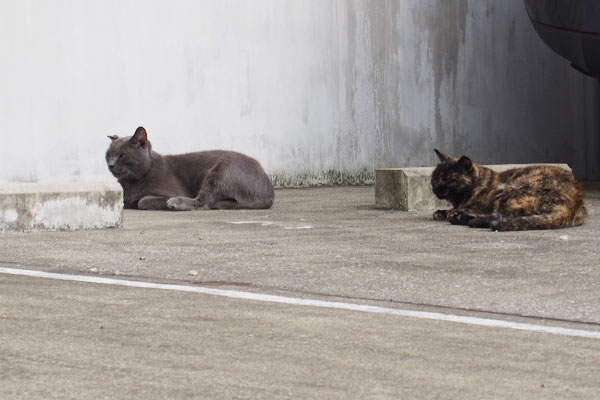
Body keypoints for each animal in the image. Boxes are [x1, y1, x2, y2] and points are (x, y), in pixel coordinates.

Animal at [432, 149, 584, 231]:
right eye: (434, 178)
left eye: (447, 178)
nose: (434, 188)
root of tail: (573, 201)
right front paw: (441, 212)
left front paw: (449, 212)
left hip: (507, 190)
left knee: (501, 214)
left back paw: (461, 218)